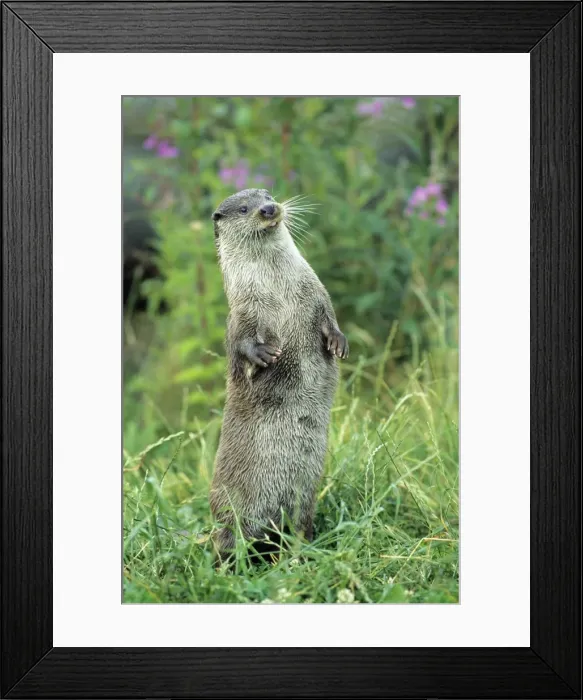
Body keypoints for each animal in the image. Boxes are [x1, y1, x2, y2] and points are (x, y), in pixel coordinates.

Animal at [209, 188, 348, 561]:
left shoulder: (316, 292)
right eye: (244, 208)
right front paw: (264, 355)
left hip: (304, 500)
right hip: (230, 510)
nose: (269, 209)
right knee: (228, 540)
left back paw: (300, 551)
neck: (277, 288)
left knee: (299, 525)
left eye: (267, 194)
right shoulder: (242, 311)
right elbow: (239, 343)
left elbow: (330, 317)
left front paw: (338, 342)